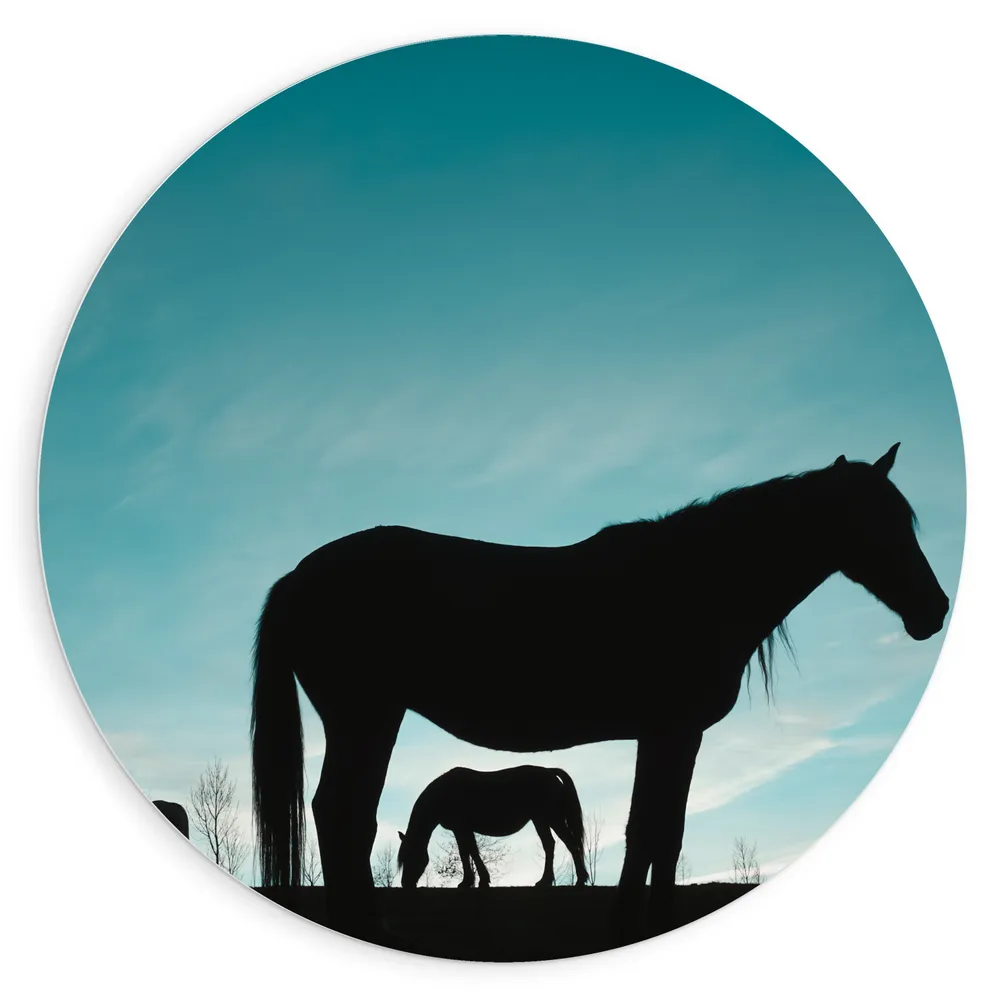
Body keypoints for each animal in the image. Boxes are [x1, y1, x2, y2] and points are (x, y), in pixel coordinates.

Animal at [396, 765, 590, 889]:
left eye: (409, 856)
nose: (405, 884)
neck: (443, 794)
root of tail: (550, 772)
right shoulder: (463, 829)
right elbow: (468, 852)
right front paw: (473, 881)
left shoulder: (461, 828)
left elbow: (469, 852)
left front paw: (474, 881)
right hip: (540, 820)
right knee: (550, 844)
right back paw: (545, 881)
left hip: (552, 819)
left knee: (570, 843)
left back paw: (580, 879)